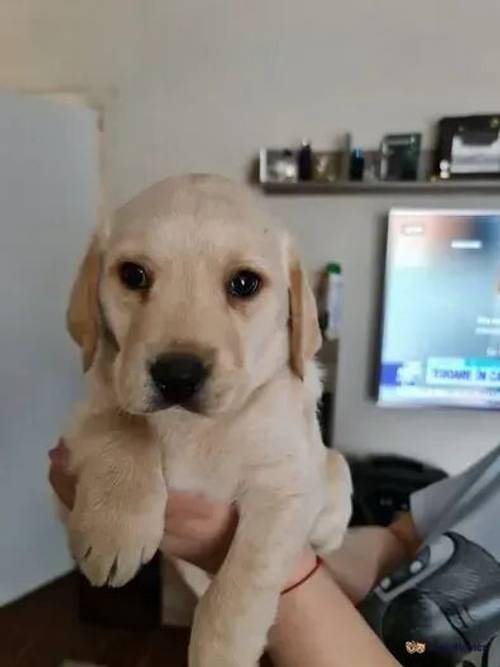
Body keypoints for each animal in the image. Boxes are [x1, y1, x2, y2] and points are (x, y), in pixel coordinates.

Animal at [63, 176, 352, 667]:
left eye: (244, 283)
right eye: (133, 275)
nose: (178, 375)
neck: (192, 427)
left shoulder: (287, 484)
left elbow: (240, 585)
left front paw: (221, 652)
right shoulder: (82, 416)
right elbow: (121, 424)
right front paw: (114, 528)